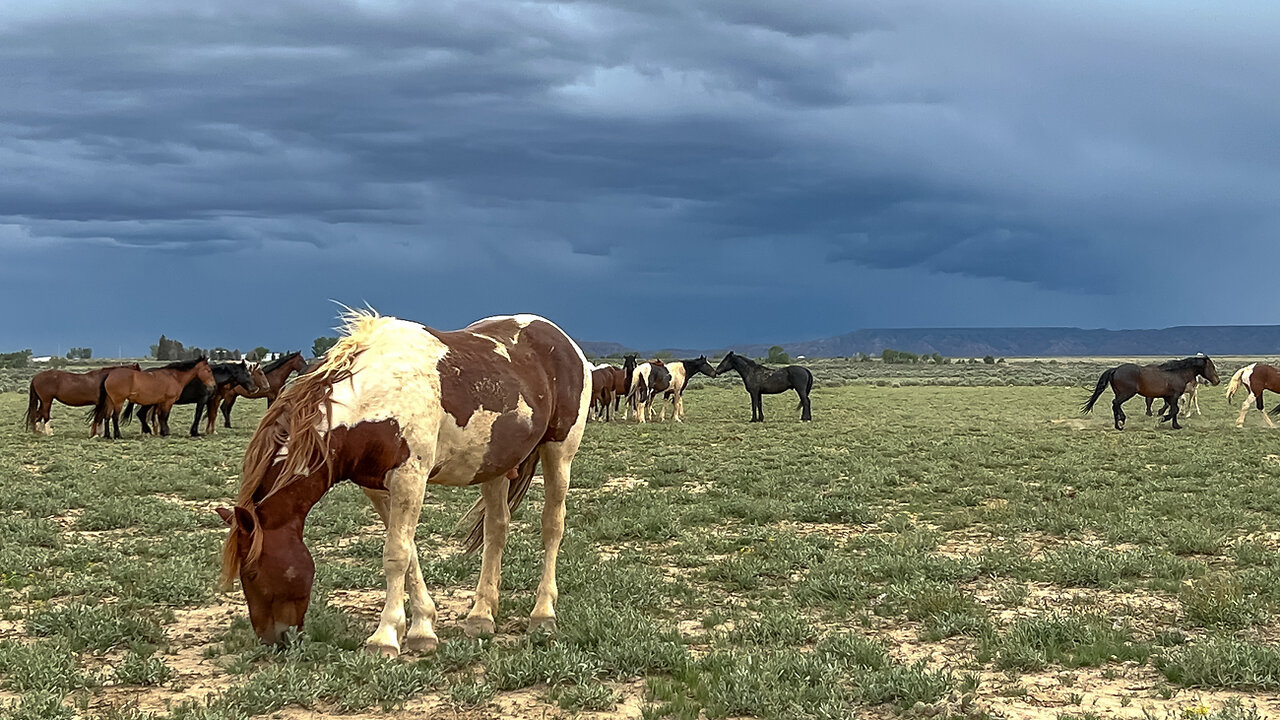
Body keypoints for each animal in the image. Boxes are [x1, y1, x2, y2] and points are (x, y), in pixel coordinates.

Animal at [127, 361, 264, 435]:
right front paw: (195, 431)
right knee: (142, 414)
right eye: (247, 374)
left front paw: (210, 431)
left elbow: (212, 414)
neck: (212, 377)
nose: (255, 389)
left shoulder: (211, 400)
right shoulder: (203, 400)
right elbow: (199, 415)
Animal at [213, 308, 588, 650]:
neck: (375, 396)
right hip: (495, 466)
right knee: (496, 530)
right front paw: (422, 628)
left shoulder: (410, 477)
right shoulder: (377, 486)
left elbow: (396, 555)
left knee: (552, 526)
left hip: (559, 453)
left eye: (251, 572)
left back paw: (543, 614)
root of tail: (565, 343)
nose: (274, 639)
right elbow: (409, 555)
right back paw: (482, 615)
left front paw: (386, 637)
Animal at [1085, 353, 1223, 427]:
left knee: (1115, 404)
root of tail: (1115, 369)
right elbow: (1174, 410)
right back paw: (1121, 421)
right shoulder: (1174, 396)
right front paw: (1161, 420)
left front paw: (1175, 425)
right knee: (1115, 403)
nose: (1217, 381)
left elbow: (1174, 409)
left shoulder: (1170, 397)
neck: (1177, 373)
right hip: (1126, 393)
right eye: (1212, 367)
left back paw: (1119, 422)